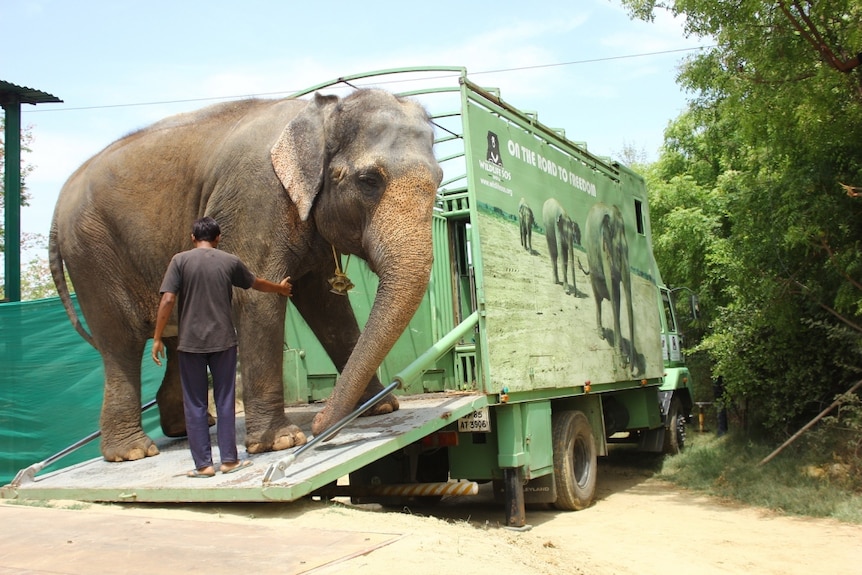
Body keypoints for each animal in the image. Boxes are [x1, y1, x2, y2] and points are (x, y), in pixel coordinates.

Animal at [50, 90, 446, 464]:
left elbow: (327, 306)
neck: (318, 116)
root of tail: (60, 200)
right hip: (92, 254)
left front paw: (380, 408)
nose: (321, 426)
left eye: (440, 178)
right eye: (368, 180)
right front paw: (281, 442)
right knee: (121, 340)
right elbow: (257, 296)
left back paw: (184, 429)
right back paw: (132, 452)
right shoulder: (256, 198)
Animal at [584, 204, 636, 378]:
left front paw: (623, 355)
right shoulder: (603, 248)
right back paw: (601, 333)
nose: (632, 369)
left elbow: (617, 298)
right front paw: (621, 360)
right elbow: (613, 296)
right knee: (597, 299)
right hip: (592, 266)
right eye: (619, 249)